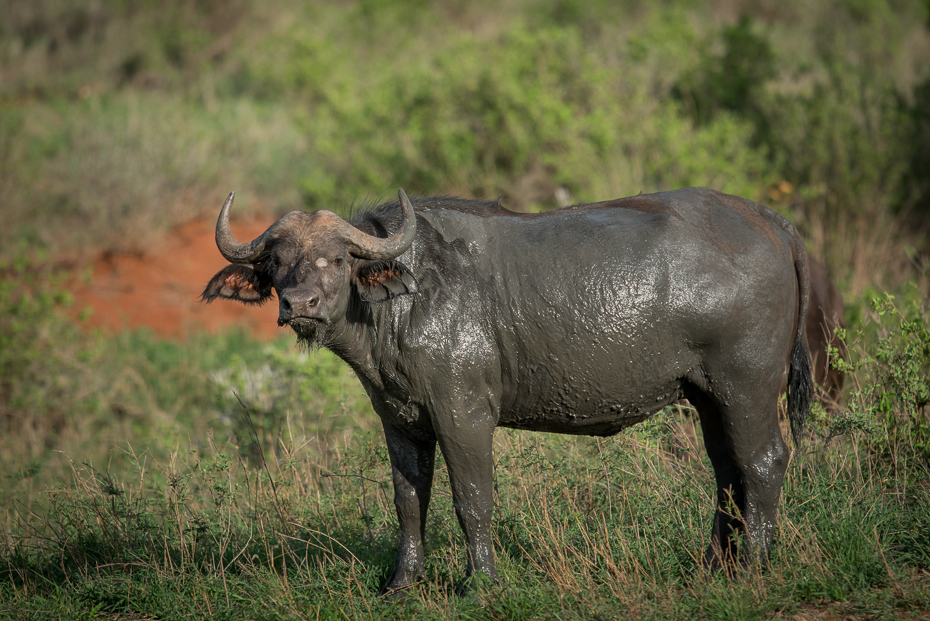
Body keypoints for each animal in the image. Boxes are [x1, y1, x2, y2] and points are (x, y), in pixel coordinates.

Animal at [199, 185, 808, 596]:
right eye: (278, 261)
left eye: (337, 257)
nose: (298, 303)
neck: (403, 303)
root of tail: (769, 221)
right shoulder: (399, 420)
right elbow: (408, 500)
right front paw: (401, 584)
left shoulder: (463, 415)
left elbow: (472, 498)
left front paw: (480, 583)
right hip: (708, 397)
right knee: (727, 471)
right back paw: (713, 565)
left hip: (747, 387)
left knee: (763, 461)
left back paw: (753, 567)